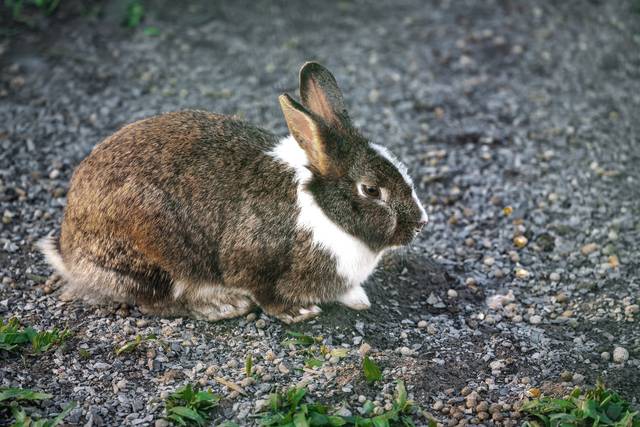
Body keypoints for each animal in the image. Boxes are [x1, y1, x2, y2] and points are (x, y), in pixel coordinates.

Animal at [38, 62, 428, 324]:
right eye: (371, 190)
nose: (421, 223)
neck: (323, 209)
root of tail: (68, 249)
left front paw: (358, 299)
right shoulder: (255, 261)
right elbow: (266, 292)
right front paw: (298, 312)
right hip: (151, 255)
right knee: (158, 300)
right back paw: (223, 305)